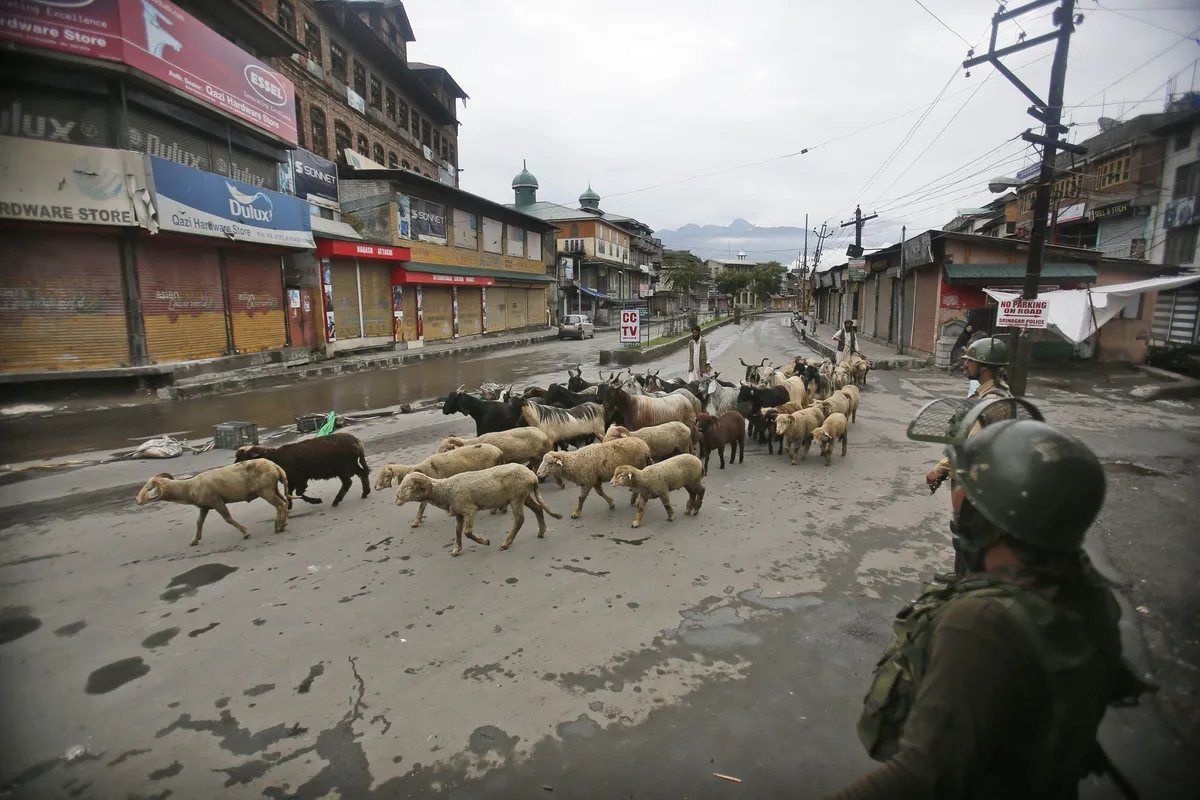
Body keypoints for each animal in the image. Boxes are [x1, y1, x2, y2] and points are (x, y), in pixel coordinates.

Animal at [134, 460, 290, 546]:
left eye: (149, 488)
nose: (137, 500)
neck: (189, 487)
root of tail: (276, 466)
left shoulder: (216, 502)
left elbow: (228, 519)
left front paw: (245, 532)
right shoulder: (205, 506)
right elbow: (199, 522)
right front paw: (195, 540)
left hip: (266, 491)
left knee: (280, 505)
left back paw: (279, 527)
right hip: (273, 488)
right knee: (284, 503)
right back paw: (283, 523)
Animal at [231, 431, 367, 506]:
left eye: (241, 457)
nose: (233, 466)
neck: (275, 457)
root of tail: (357, 442)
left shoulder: (299, 479)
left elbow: (298, 493)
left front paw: (316, 500)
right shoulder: (290, 480)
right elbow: (289, 493)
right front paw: (289, 506)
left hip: (344, 467)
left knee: (348, 482)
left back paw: (336, 501)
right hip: (351, 465)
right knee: (363, 473)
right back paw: (365, 493)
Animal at [376, 443, 504, 525]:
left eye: (386, 476)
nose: (375, 487)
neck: (422, 469)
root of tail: (499, 452)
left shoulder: (427, 489)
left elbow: (422, 505)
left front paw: (416, 521)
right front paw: (417, 520)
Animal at [393, 462, 561, 556]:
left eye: (409, 488)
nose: (396, 500)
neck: (447, 490)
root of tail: (532, 476)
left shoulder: (470, 509)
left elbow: (467, 532)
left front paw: (485, 541)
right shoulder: (459, 513)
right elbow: (457, 531)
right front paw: (456, 549)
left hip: (516, 498)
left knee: (520, 519)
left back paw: (506, 543)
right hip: (524, 496)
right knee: (538, 509)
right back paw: (541, 532)